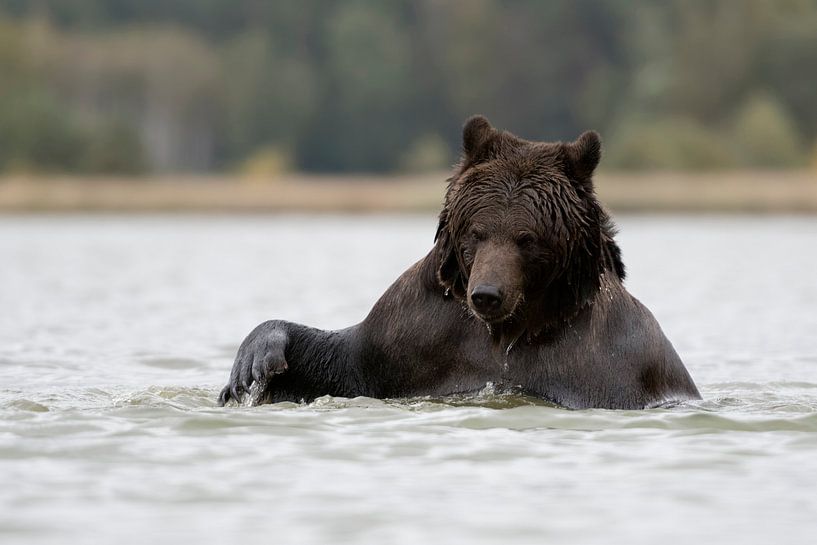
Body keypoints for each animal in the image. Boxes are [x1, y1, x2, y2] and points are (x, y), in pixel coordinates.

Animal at [218, 117, 700, 410]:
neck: (509, 331)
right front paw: (255, 362)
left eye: (527, 238)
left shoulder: (612, 361)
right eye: (476, 232)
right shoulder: (414, 332)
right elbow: (344, 365)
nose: (487, 294)